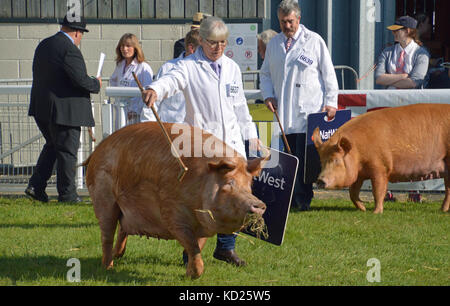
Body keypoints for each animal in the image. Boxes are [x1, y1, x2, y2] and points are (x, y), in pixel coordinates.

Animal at [83, 121, 268, 278]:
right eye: (229, 183)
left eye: (249, 185)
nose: (259, 204)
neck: (200, 184)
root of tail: (97, 150)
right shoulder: (172, 212)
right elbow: (191, 244)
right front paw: (194, 275)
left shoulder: (204, 224)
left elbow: (197, 246)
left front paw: (188, 272)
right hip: (103, 198)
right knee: (107, 234)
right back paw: (108, 268)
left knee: (122, 228)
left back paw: (118, 256)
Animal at [312, 104, 450, 214]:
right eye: (321, 161)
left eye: (336, 160)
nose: (320, 180)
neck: (358, 151)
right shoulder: (359, 174)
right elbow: (353, 193)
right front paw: (363, 209)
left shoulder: (380, 168)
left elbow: (378, 191)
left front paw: (376, 212)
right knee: (448, 189)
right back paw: (442, 210)